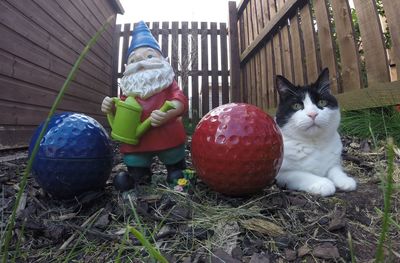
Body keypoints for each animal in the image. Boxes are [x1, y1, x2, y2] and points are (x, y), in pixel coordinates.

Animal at [276, 69, 356, 197]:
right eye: (296, 105)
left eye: (322, 102)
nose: (313, 114)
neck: (315, 144)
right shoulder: (281, 173)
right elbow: (300, 174)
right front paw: (323, 183)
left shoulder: (334, 161)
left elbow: (335, 169)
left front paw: (345, 180)